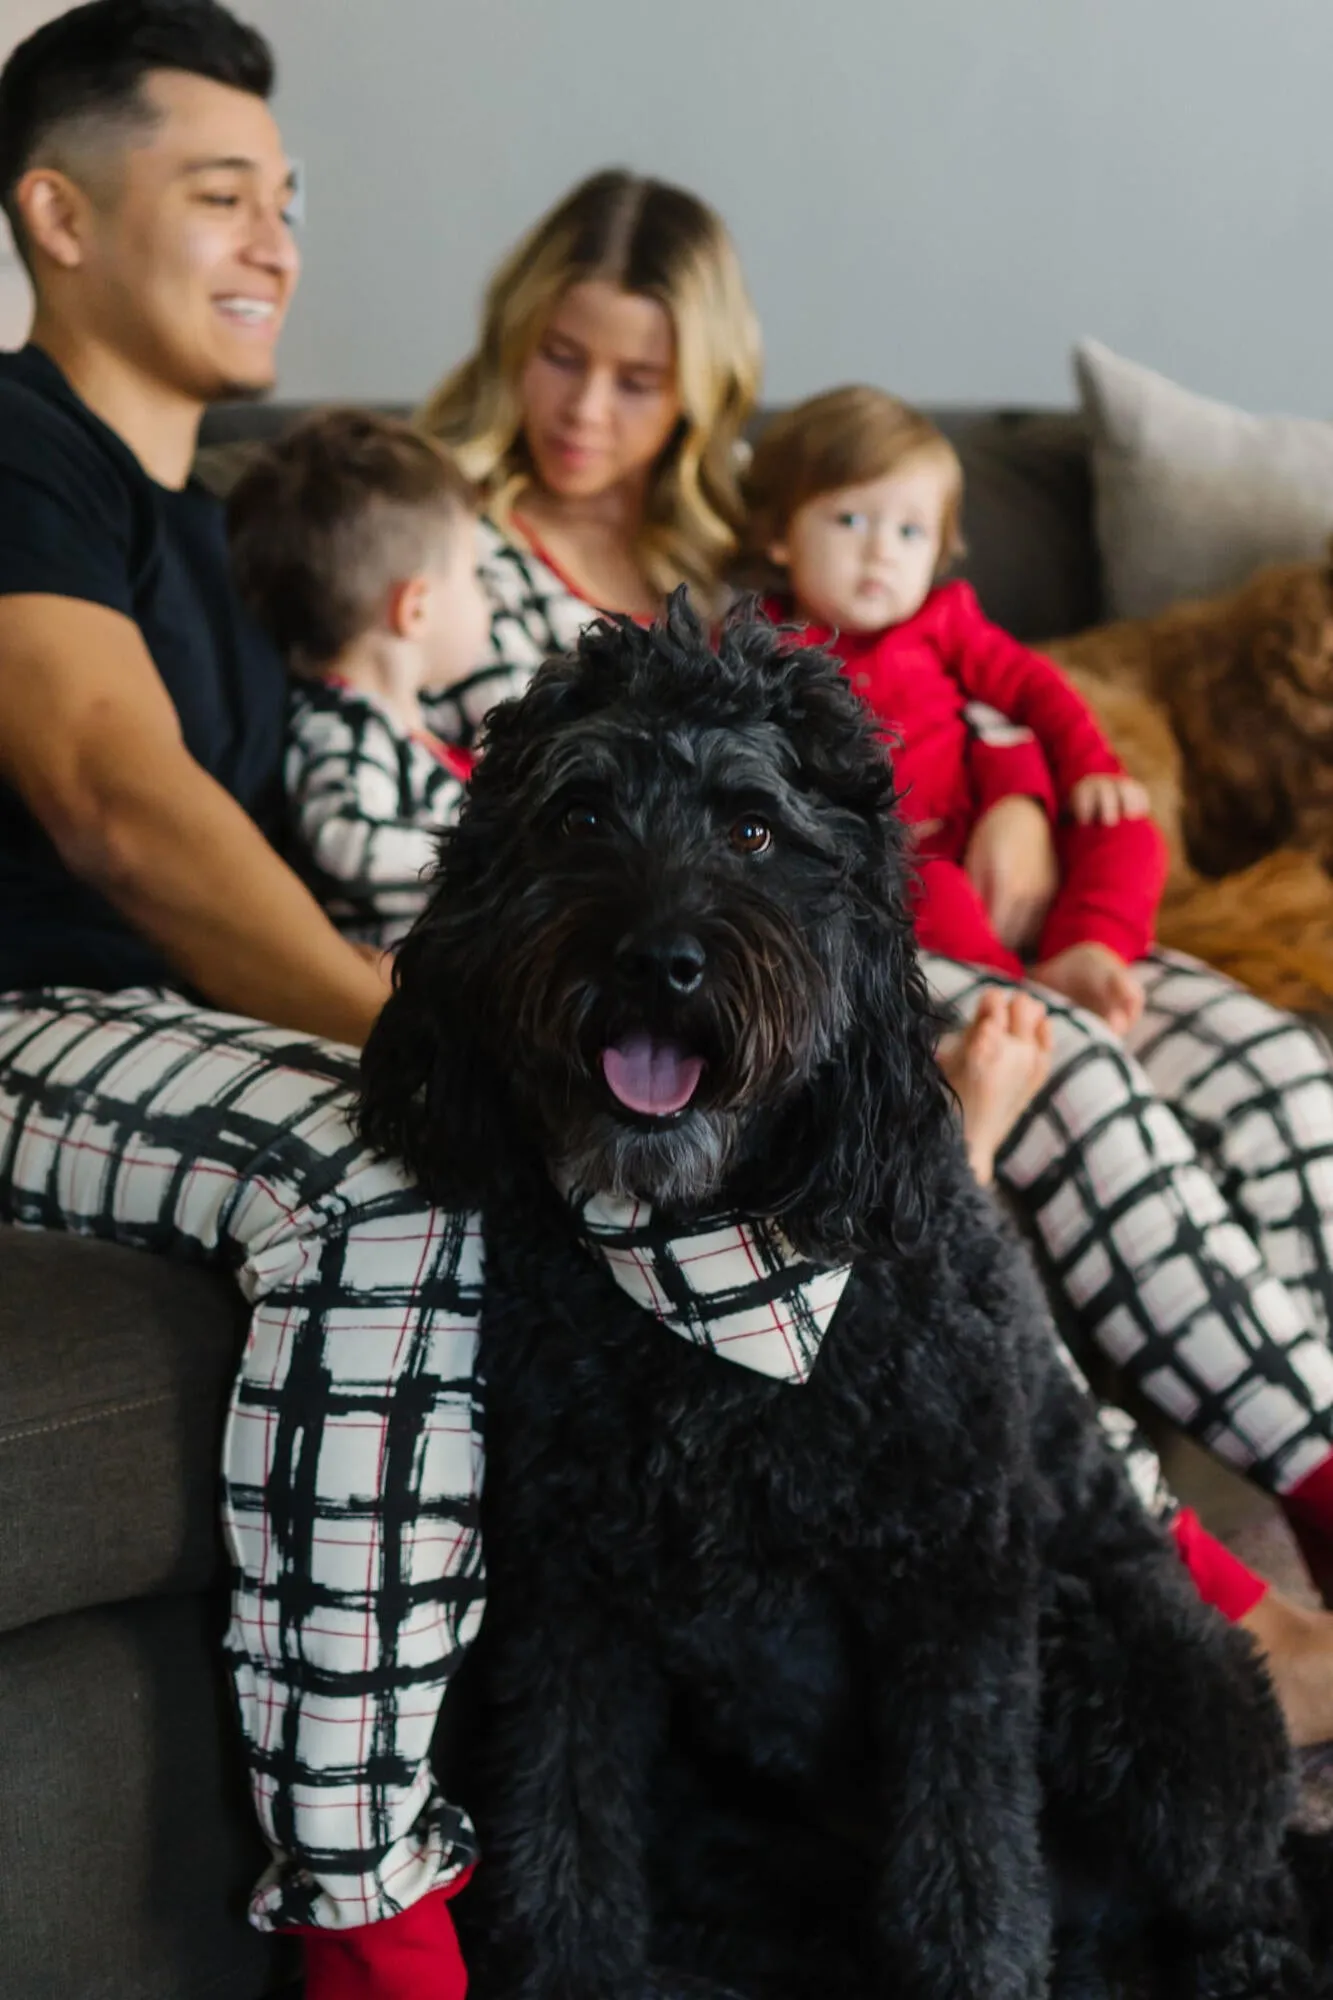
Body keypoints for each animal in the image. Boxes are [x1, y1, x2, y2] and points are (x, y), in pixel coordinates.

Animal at [358, 596, 1320, 2000]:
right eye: (578, 813)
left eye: (753, 827)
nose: (658, 960)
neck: (712, 1278)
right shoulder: (573, 1598)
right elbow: (560, 1839)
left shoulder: (957, 1586)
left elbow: (967, 1868)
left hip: (1132, 1657)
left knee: (1242, 1882)